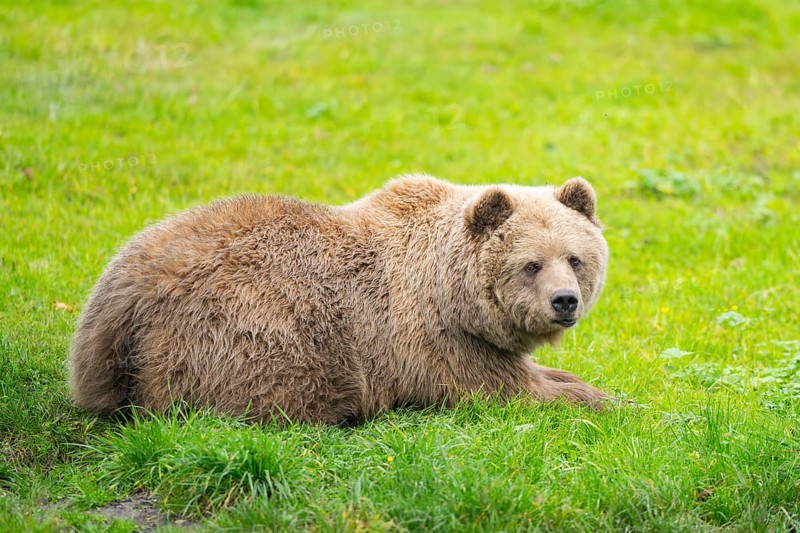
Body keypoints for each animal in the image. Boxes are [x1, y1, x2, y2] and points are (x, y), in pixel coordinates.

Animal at [68, 174, 609, 424]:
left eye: (575, 258)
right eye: (530, 264)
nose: (564, 301)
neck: (450, 295)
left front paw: (580, 382)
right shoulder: (432, 344)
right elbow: (505, 389)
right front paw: (601, 399)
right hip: (248, 330)